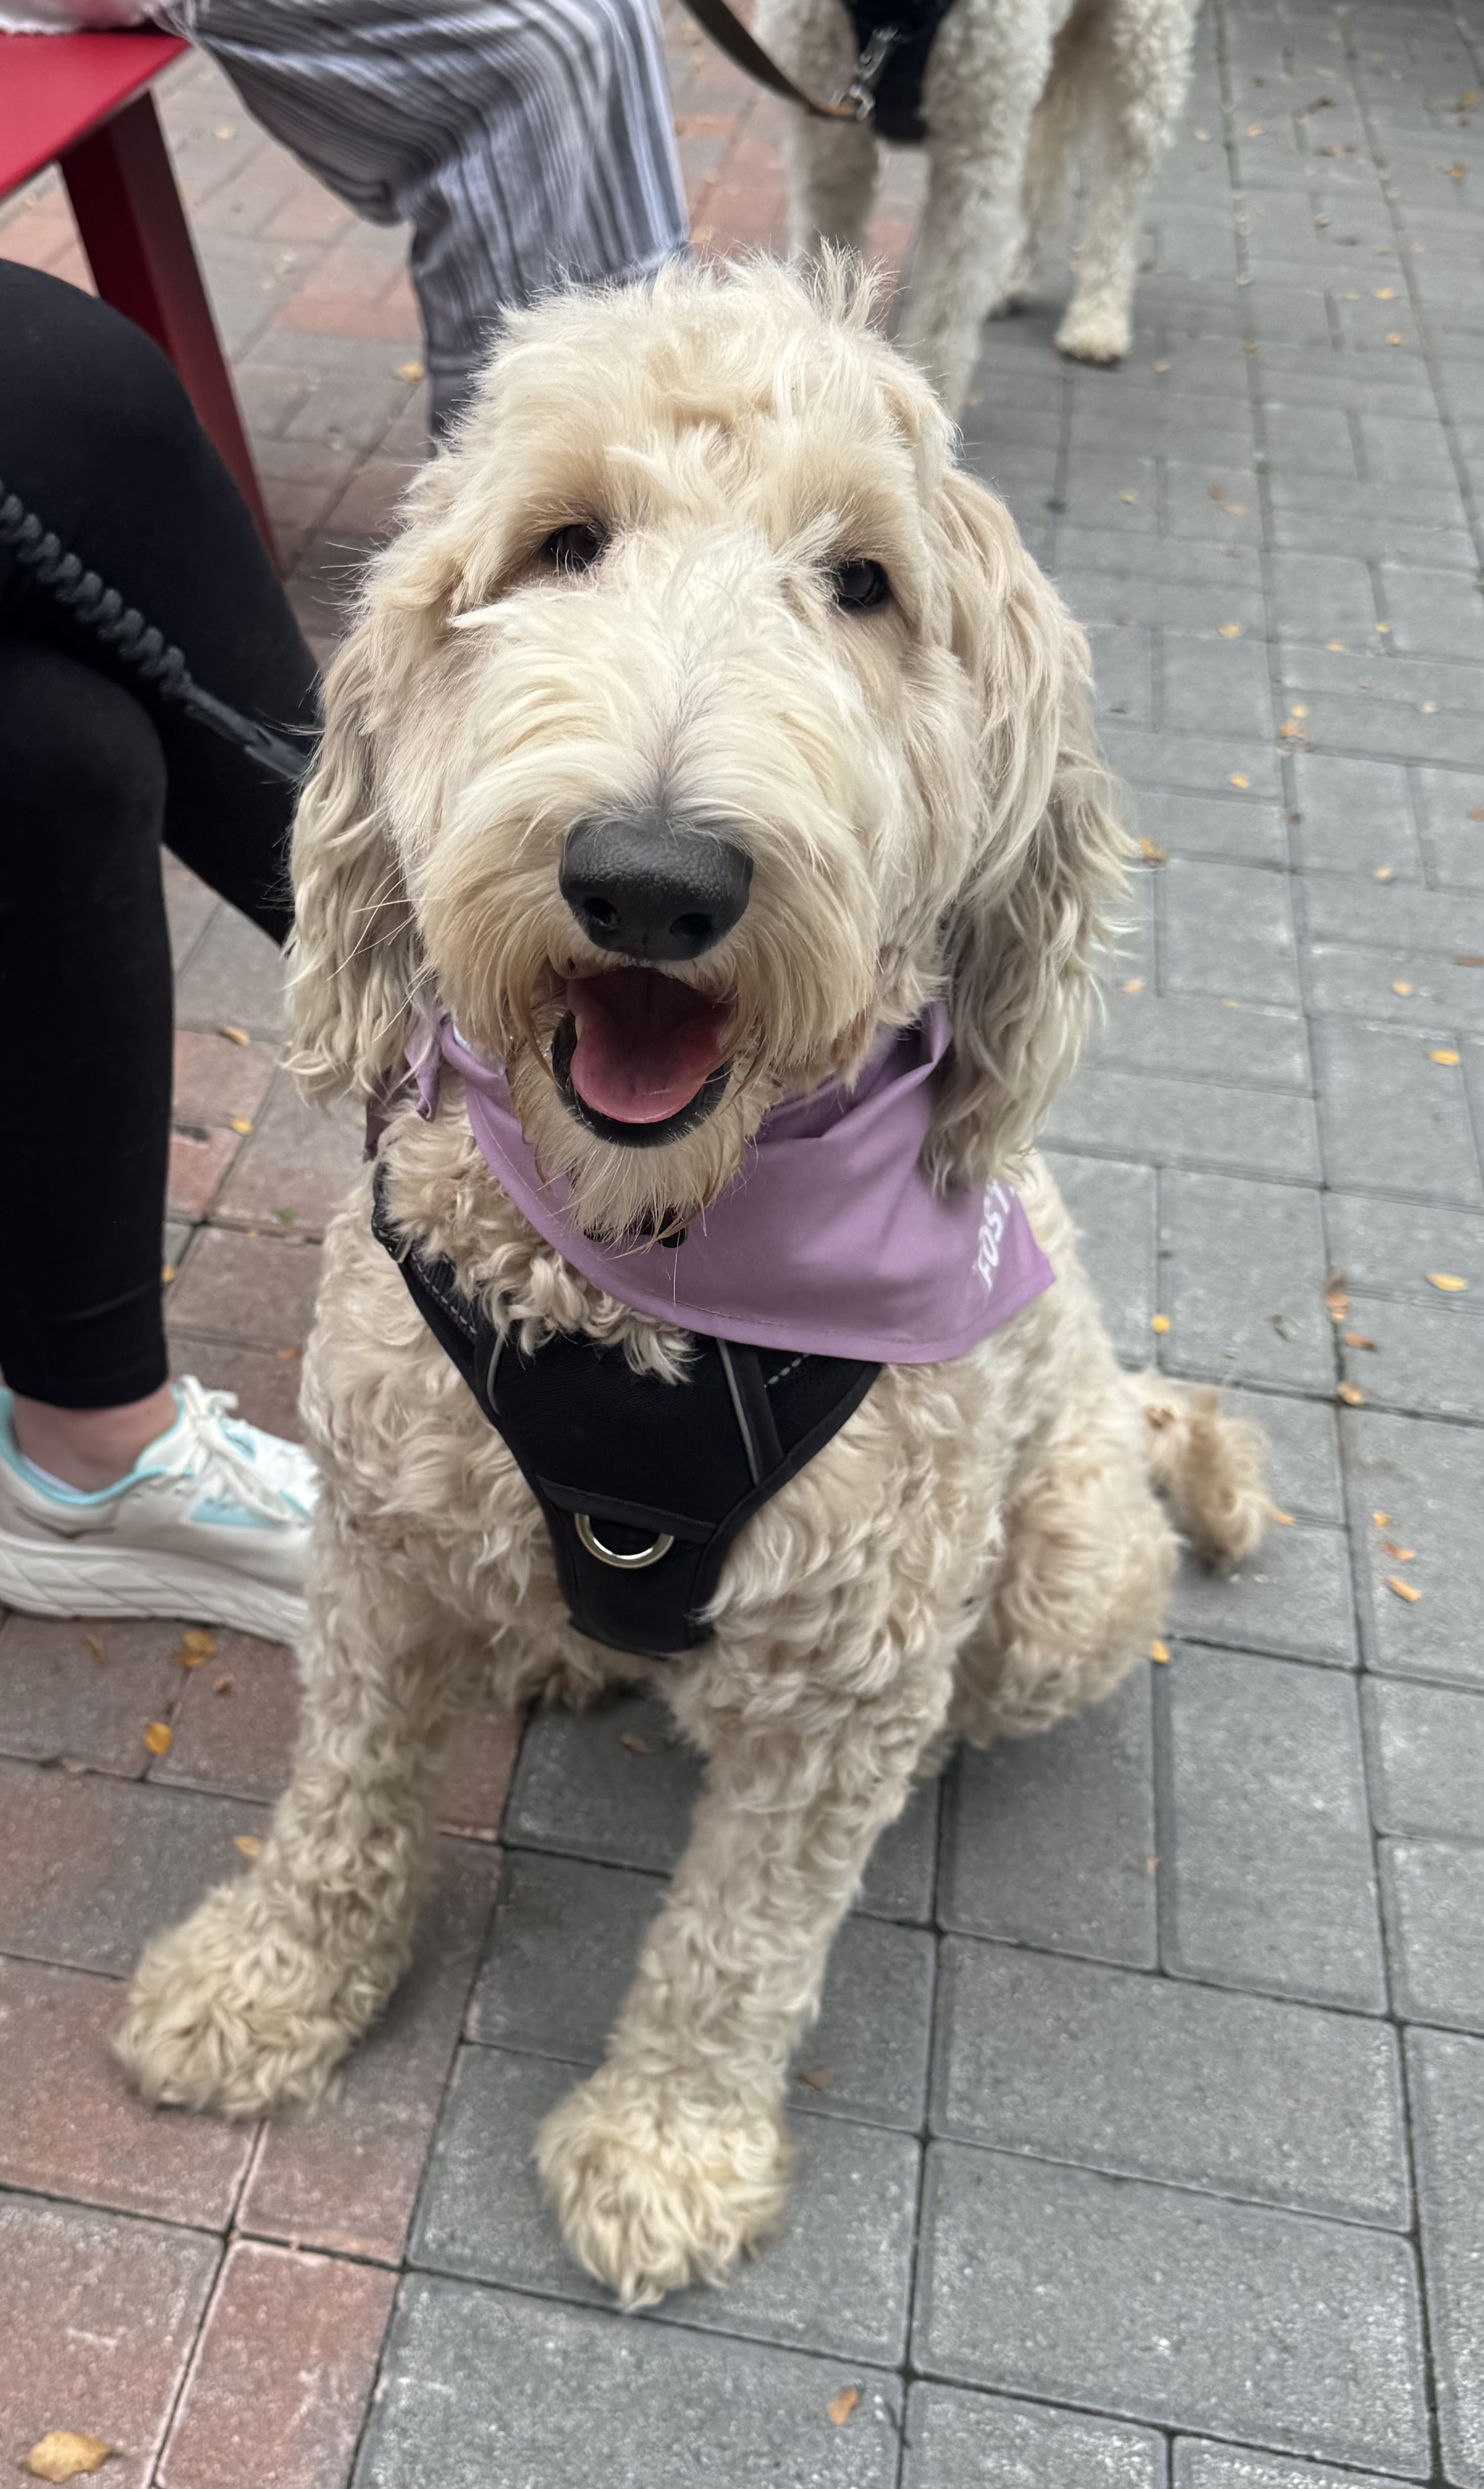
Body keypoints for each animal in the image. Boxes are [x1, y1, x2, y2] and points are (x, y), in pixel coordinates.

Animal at [115, 256, 1266, 2310]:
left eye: (864, 582)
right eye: (564, 542)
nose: (649, 879)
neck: (641, 1286)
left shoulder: (843, 1684)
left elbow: (742, 1938)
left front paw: (668, 2144)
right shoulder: (378, 1547)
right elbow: (341, 1798)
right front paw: (271, 1986)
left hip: (1065, 1573)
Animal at [755, 0, 1201, 414]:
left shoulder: (973, 159)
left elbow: (944, 318)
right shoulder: (827, 143)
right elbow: (819, 283)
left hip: (1144, 55)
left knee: (1121, 199)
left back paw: (1098, 322)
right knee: (1046, 175)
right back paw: (1010, 282)